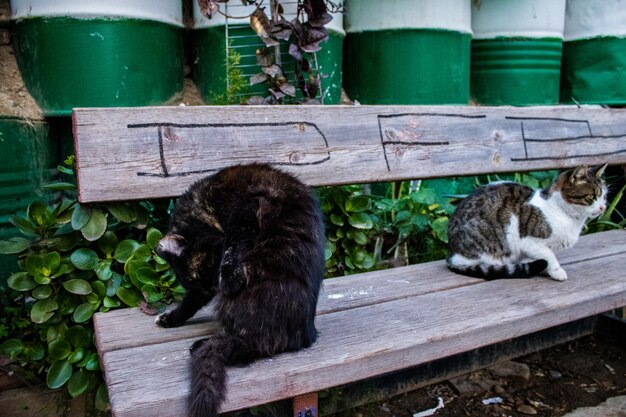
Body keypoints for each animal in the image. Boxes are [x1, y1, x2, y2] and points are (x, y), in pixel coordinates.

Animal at [154, 162, 324, 416]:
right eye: (196, 282)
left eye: (203, 273)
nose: (216, 287)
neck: (208, 202)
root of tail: (302, 337)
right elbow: (189, 303)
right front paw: (171, 318)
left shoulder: (251, 206)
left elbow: (234, 243)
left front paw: (230, 278)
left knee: (251, 347)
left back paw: (202, 344)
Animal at [446, 162, 608, 280]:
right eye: (592, 197)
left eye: (604, 196)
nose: (603, 207)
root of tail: (452, 252)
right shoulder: (528, 242)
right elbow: (549, 256)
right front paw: (556, 271)